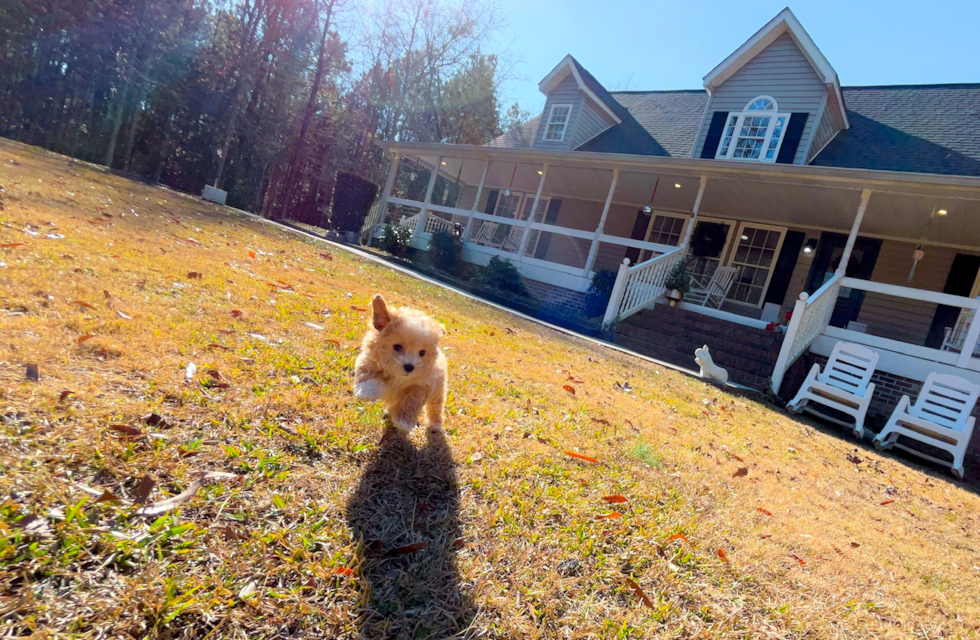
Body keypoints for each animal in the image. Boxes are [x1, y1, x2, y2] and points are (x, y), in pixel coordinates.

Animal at [352, 294, 448, 432]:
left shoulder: (422, 385)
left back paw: (435, 424)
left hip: (438, 390)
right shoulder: (370, 360)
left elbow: (411, 401)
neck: (398, 377)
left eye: (422, 352)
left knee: (435, 407)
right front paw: (366, 391)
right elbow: (368, 374)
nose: (409, 367)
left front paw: (403, 421)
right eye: (397, 347)